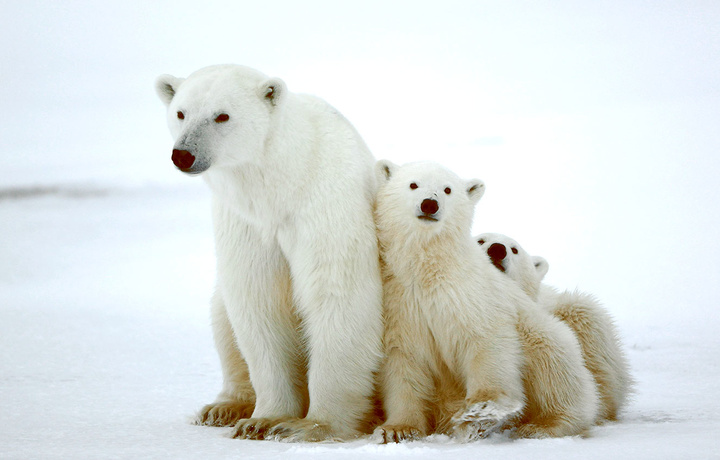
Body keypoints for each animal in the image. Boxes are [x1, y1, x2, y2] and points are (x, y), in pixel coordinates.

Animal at [155, 65, 386, 442]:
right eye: (181, 113)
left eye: (222, 115)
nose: (183, 155)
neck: (282, 184)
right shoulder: (245, 223)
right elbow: (258, 301)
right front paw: (262, 420)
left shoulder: (326, 205)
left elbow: (337, 295)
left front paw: (310, 426)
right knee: (222, 317)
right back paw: (223, 407)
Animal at [374, 162, 600, 442]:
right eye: (413, 184)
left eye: (447, 189)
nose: (429, 204)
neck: (429, 270)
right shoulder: (401, 304)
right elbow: (404, 363)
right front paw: (397, 429)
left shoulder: (473, 294)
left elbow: (487, 342)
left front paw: (480, 412)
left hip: (545, 335)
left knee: (554, 369)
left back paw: (543, 425)